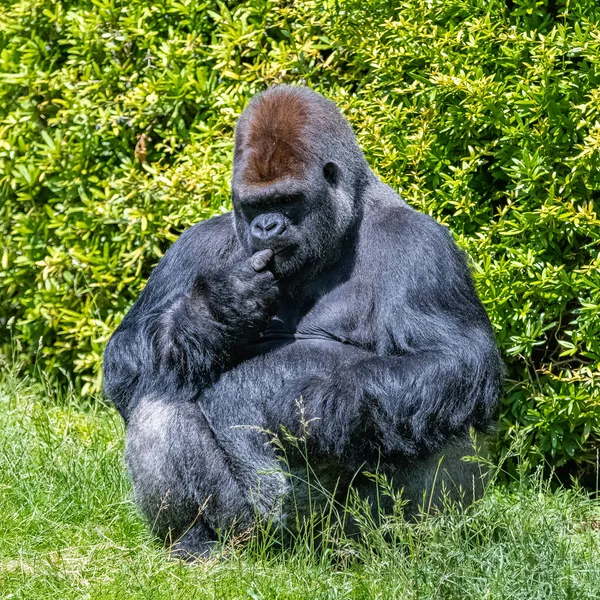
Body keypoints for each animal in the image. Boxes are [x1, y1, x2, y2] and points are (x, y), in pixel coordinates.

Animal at [102, 84, 502, 556]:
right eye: (254, 204)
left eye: (287, 200)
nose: (267, 227)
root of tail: (296, 551)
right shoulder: (194, 244)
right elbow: (125, 358)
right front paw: (214, 312)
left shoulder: (422, 245)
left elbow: (452, 357)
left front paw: (319, 408)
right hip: (252, 529)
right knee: (158, 400)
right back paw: (195, 541)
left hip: (345, 530)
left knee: (443, 408)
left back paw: (412, 543)